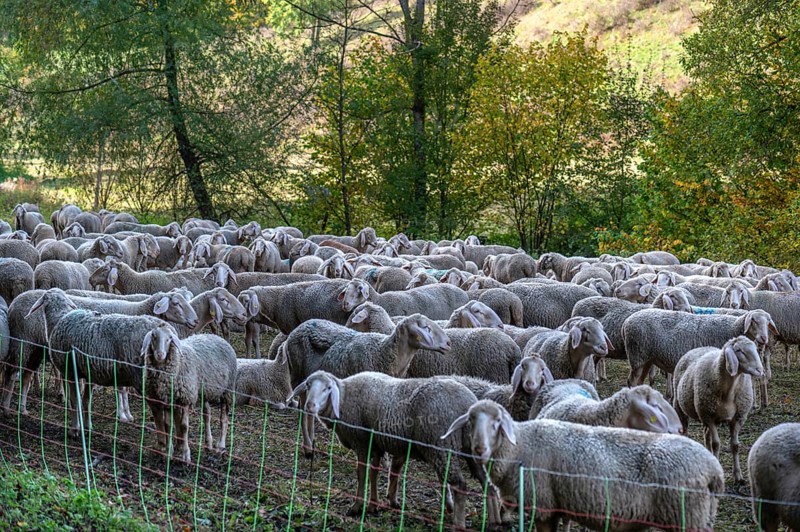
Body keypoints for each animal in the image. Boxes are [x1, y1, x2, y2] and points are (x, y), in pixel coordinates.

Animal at [141, 325, 237, 461]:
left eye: (169, 339)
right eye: (153, 336)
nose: (160, 354)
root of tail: (215, 336)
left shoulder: (185, 397)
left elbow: (184, 426)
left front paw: (186, 454)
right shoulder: (167, 400)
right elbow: (167, 425)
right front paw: (169, 453)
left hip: (227, 390)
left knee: (223, 418)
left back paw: (221, 446)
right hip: (204, 390)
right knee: (207, 414)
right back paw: (208, 444)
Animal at [288, 371, 482, 527]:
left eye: (328, 388)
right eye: (308, 385)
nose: (310, 406)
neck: (343, 399)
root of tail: (468, 403)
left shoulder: (362, 442)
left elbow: (362, 474)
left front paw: (357, 506)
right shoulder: (377, 445)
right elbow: (376, 473)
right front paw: (375, 504)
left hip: (439, 445)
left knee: (460, 484)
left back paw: (459, 523)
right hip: (470, 448)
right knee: (485, 480)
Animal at [442, 400, 724, 532]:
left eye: (497, 423)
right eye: (470, 421)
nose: (479, 449)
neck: (519, 446)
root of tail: (714, 469)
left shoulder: (543, 505)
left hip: (687, 516)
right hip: (702, 515)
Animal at [623, 308, 777, 388]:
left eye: (768, 322)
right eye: (754, 320)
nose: (764, 338)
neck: (734, 328)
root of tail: (626, 322)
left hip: (646, 358)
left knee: (639, 381)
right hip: (636, 355)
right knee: (632, 381)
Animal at [673, 336, 765, 482]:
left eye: (755, 349)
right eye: (739, 350)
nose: (760, 370)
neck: (730, 390)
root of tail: (701, 347)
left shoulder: (737, 418)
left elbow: (735, 445)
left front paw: (738, 476)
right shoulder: (710, 417)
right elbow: (716, 444)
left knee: (706, 435)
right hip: (682, 407)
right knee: (686, 432)